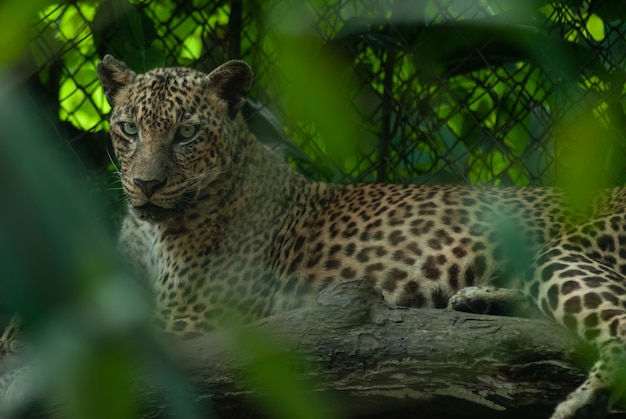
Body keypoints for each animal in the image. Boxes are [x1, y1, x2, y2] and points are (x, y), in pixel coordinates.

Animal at [92, 54, 624, 418]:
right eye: (128, 129)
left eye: (186, 134)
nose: (146, 184)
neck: (150, 230)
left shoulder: (191, 316)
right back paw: (477, 300)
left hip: (559, 253)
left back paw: (583, 402)